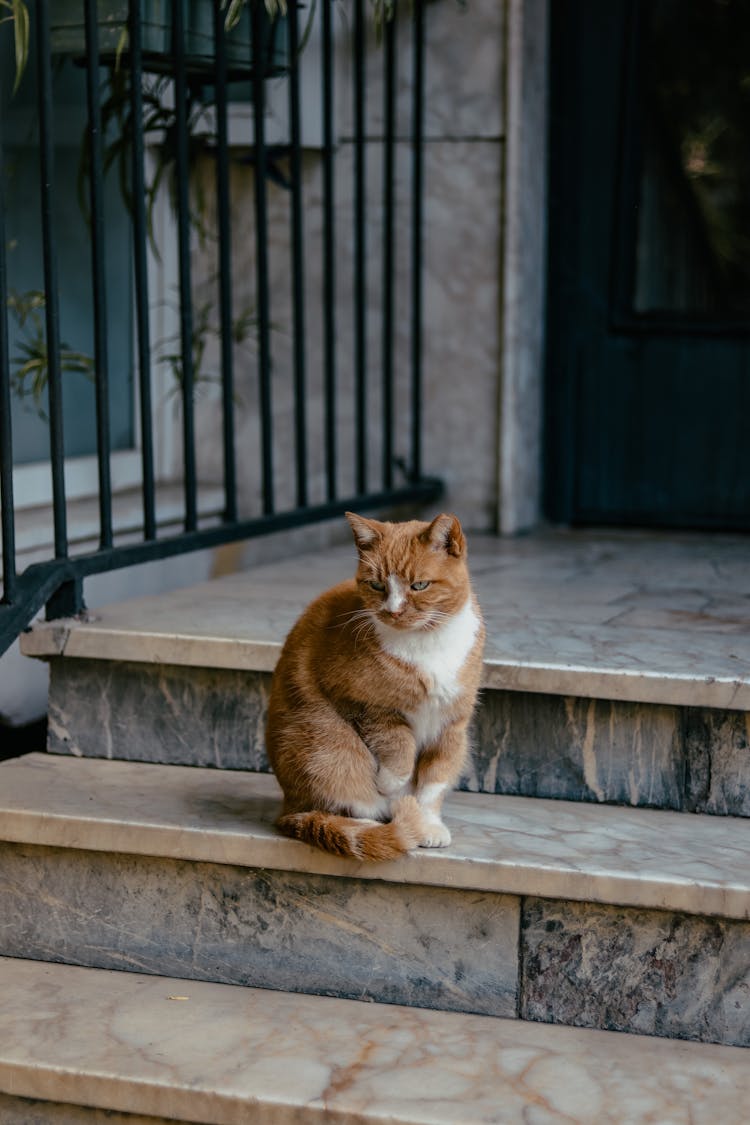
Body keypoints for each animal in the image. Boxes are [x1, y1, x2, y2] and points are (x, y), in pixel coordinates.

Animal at [266, 513, 483, 859]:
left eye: (419, 585)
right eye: (377, 585)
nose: (392, 611)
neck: (426, 642)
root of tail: (287, 808)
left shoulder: (452, 726)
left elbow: (434, 780)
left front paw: (428, 825)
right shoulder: (361, 704)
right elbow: (398, 747)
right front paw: (394, 793)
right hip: (325, 748)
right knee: (336, 806)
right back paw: (368, 826)